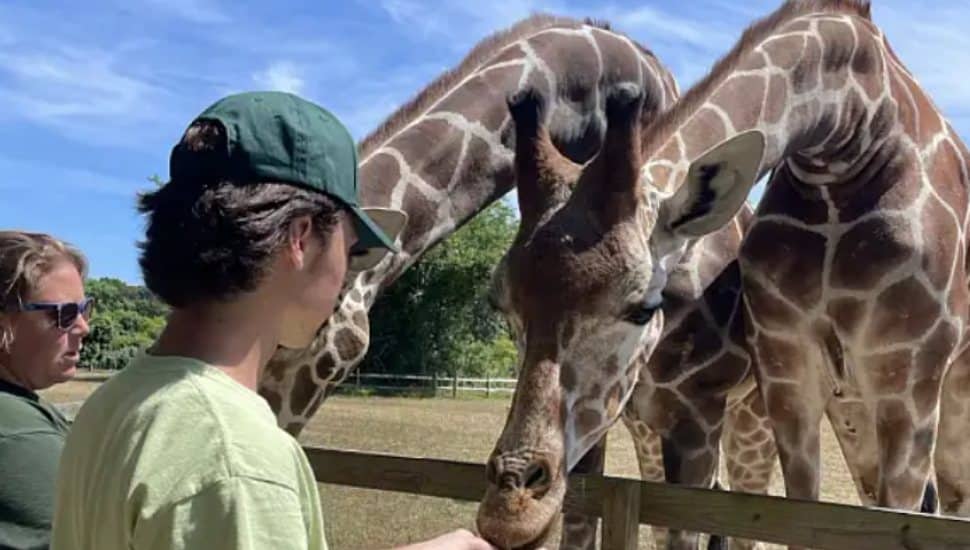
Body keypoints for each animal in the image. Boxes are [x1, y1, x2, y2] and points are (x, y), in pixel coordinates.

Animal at [475, 1, 970, 549]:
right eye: (501, 305)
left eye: (643, 307)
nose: (510, 509)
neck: (847, 139)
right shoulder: (783, 371)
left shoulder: (903, 371)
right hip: (844, 406)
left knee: (945, 500)